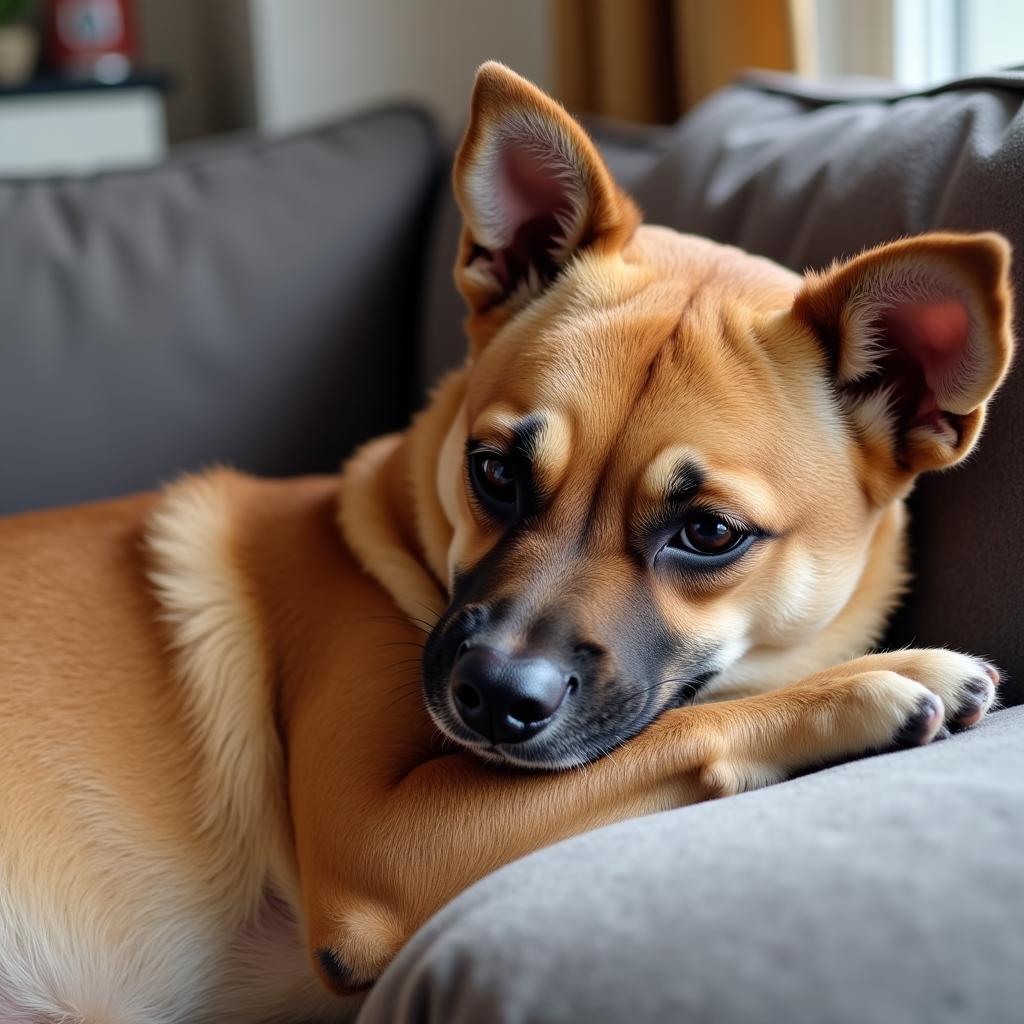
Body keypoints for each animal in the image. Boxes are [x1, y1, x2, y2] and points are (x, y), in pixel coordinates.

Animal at [0, 64, 1011, 1024]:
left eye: (709, 533)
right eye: (492, 472)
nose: (491, 697)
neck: (387, 543)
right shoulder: (381, 841)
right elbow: (685, 725)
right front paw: (874, 683)